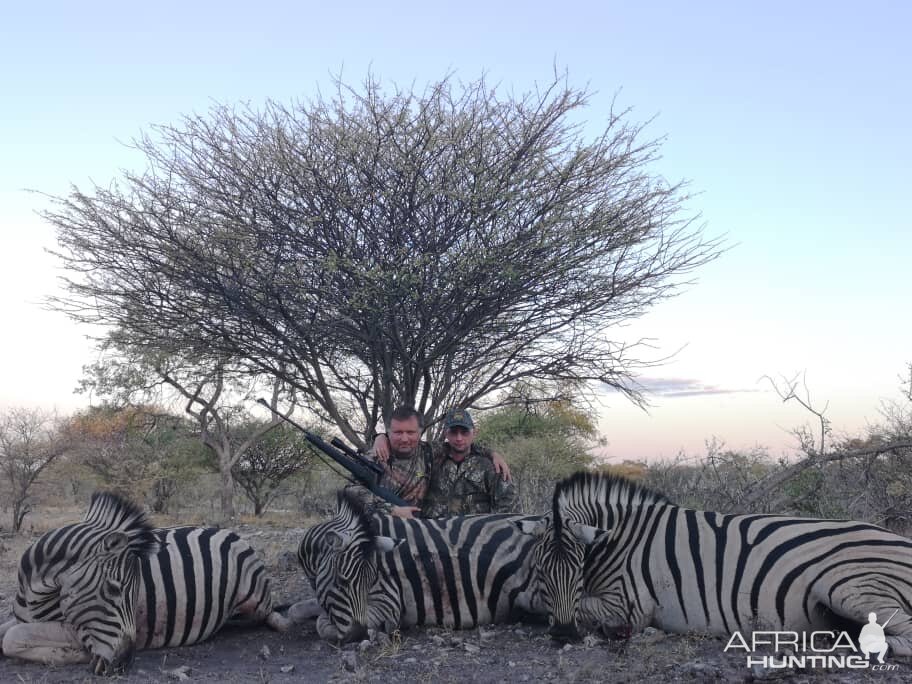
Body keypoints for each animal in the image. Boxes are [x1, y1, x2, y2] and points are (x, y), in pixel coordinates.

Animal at [0, 492, 290, 672]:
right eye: (113, 589)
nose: (125, 662)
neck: (33, 594)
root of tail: (228, 531)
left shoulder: (72, 628)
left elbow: (11, 639)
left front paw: (74, 654)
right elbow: (6, 631)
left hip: (255, 598)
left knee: (271, 613)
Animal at [296, 492, 544, 640]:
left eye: (374, 580)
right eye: (340, 582)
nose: (359, 636)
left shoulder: (388, 602)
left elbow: (322, 624)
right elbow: (305, 608)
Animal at [532, 470, 912, 652]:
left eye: (578, 572)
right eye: (540, 572)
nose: (564, 635)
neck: (620, 537)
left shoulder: (629, 605)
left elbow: (587, 607)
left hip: (848, 587)